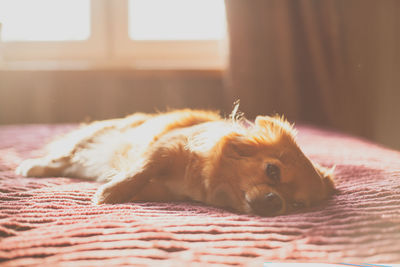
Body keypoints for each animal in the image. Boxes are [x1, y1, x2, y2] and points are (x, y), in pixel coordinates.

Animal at [15, 107, 334, 218]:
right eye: (272, 171)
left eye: (297, 205)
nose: (275, 201)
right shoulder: (166, 146)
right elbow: (143, 168)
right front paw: (112, 192)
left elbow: (143, 182)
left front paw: (118, 190)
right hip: (94, 137)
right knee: (63, 157)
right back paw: (34, 166)